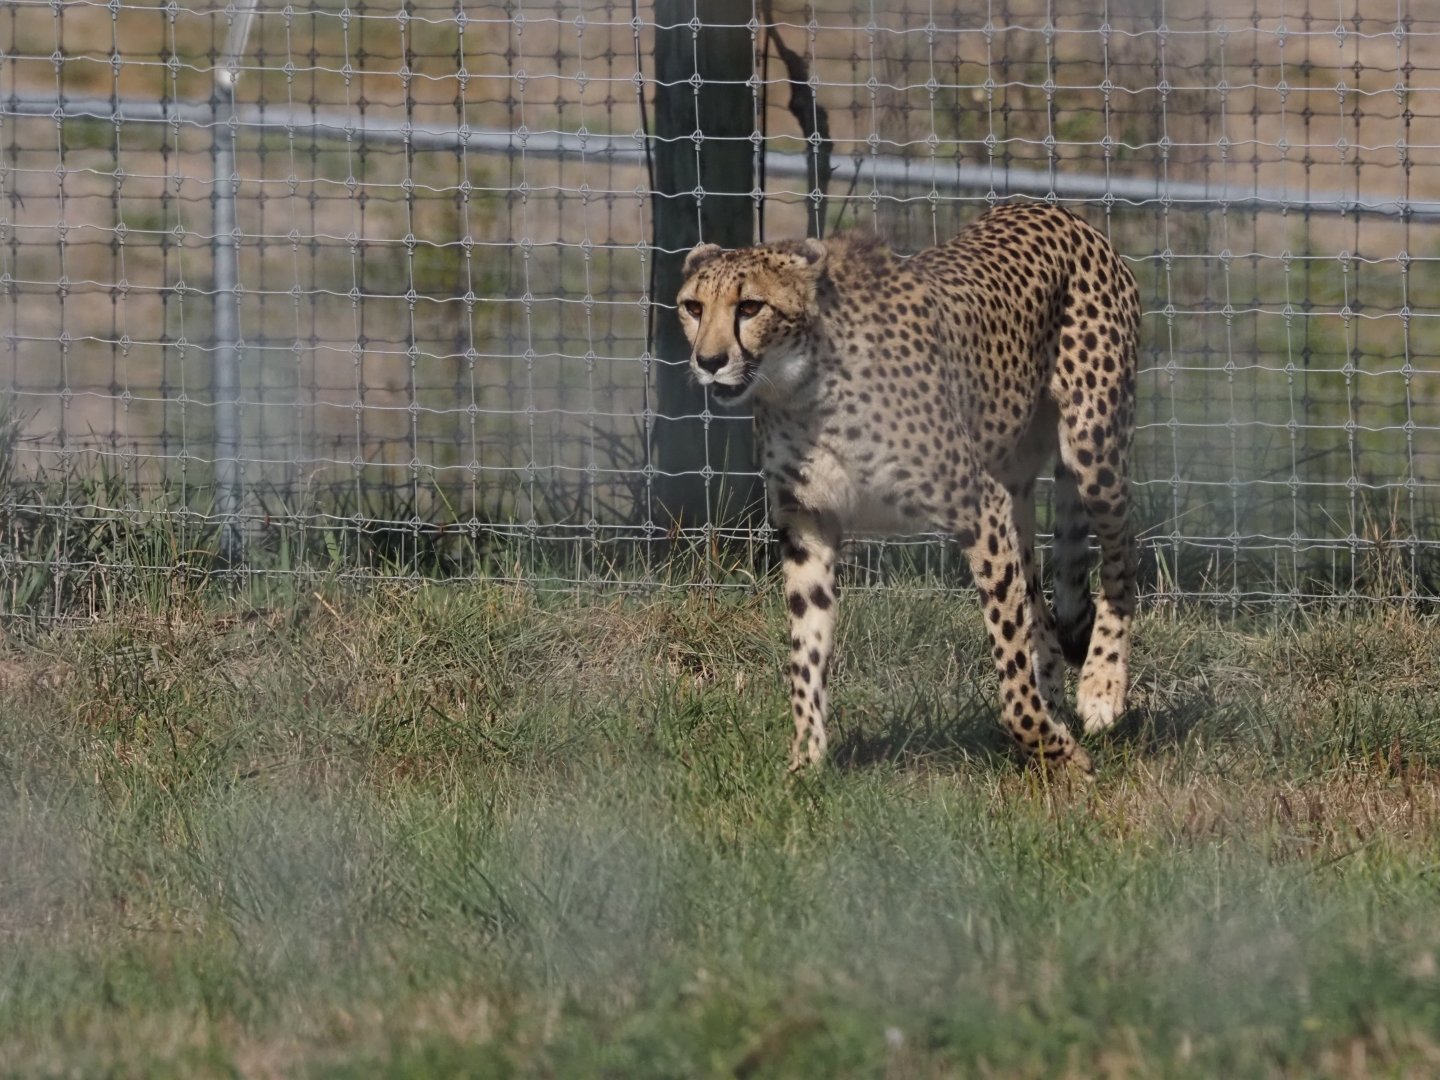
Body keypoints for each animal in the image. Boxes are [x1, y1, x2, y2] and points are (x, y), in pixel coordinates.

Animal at [676, 203, 1141, 775]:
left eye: (750, 306)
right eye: (693, 307)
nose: (709, 361)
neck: (801, 387)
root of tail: (1055, 209)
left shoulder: (978, 507)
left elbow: (1009, 666)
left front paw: (1059, 753)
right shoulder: (810, 524)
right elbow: (806, 650)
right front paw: (805, 762)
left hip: (1093, 449)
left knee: (1121, 557)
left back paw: (1102, 685)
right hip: (1016, 484)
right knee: (1039, 601)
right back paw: (1054, 687)